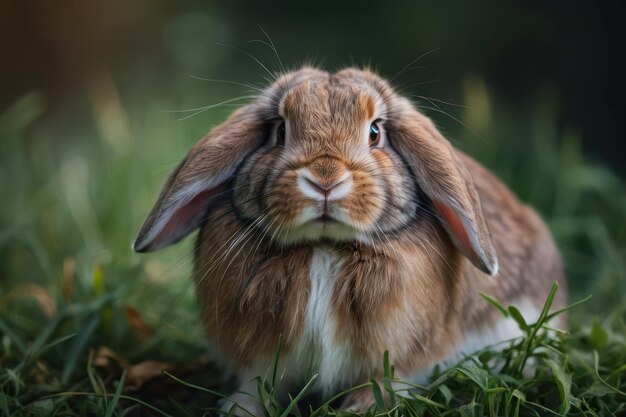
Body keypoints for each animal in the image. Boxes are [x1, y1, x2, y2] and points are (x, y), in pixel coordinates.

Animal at [132, 68, 564, 412]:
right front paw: (239, 411)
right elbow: (256, 386)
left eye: (375, 132)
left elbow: (385, 384)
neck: (325, 248)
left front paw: (359, 409)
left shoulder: (400, 355)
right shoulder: (260, 359)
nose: (325, 180)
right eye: (280, 131)